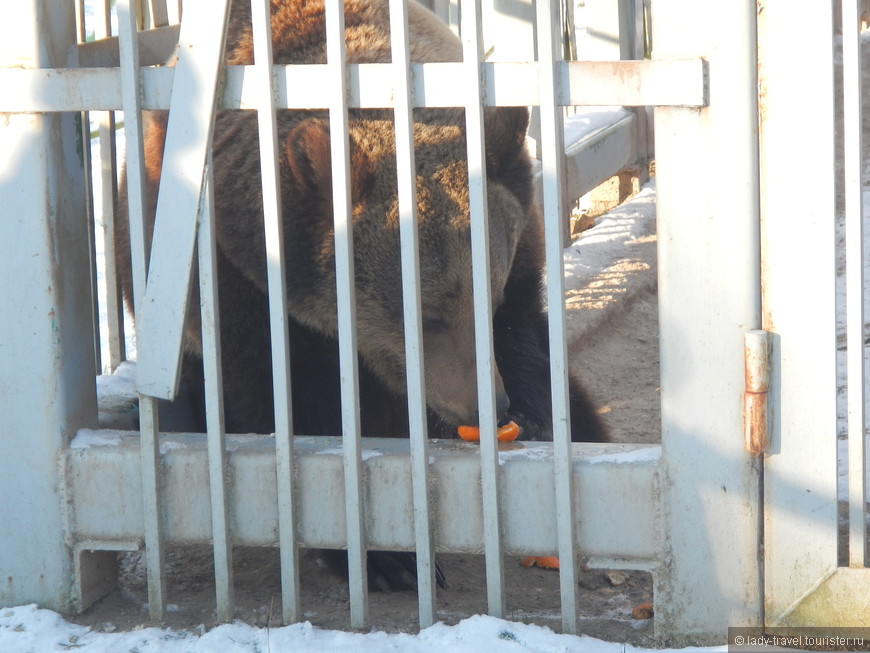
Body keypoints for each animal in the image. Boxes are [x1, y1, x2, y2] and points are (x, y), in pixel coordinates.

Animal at [116, 0, 608, 584]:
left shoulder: (519, 236)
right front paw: (388, 558)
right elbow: (291, 398)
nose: (487, 403)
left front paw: (538, 420)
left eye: (486, 300)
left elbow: (526, 333)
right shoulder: (234, 276)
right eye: (426, 316)